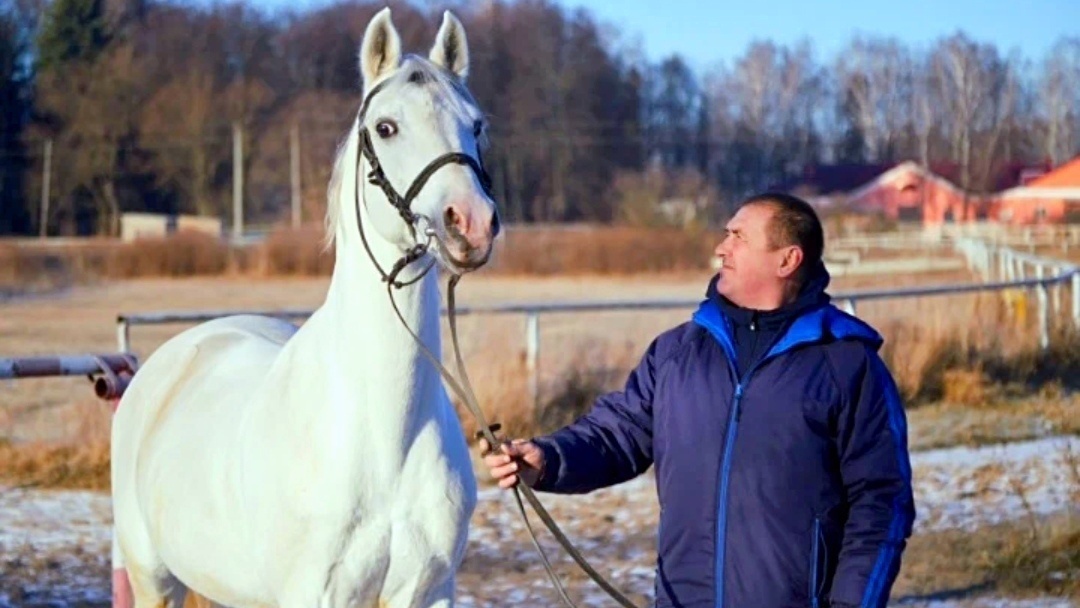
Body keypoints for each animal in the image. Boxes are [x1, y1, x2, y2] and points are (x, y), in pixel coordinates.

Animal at [109, 9, 496, 608]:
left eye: (475, 126)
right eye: (386, 127)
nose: (470, 224)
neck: (385, 437)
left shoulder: (430, 591)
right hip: (154, 578)